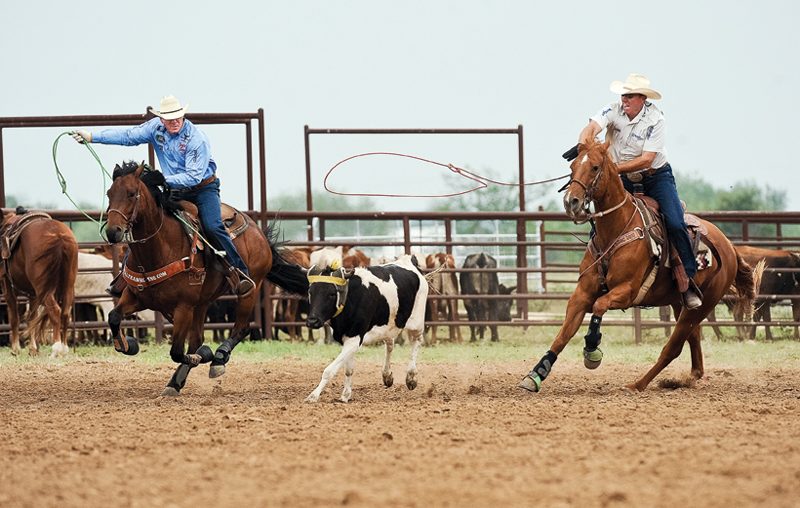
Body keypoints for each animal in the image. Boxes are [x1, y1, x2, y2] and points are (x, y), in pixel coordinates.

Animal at [0, 208, 79, 356]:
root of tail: (59, 235)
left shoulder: (6, 284)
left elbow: (14, 316)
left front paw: (15, 349)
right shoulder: (33, 293)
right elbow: (32, 317)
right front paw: (33, 349)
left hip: (43, 287)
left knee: (55, 311)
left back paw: (56, 349)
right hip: (67, 285)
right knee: (65, 313)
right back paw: (64, 348)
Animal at [104, 163, 310, 396]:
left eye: (131, 194)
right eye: (109, 193)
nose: (112, 231)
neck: (159, 250)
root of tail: (259, 232)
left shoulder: (183, 307)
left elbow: (177, 351)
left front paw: (205, 356)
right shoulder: (136, 298)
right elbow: (113, 317)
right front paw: (128, 345)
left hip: (249, 290)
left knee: (240, 328)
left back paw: (218, 358)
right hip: (202, 302)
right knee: (197, 339)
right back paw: (176, 382)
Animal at [304, 256, 428, 402]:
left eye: (332, 294)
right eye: (310, 292)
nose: (312, 321)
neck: (351, 297)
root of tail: (409, 260)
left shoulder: (354, 339)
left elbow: (329, 371)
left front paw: (313, 395)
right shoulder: (346, 339)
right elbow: (348, 370)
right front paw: (345, 395)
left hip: (417, 321)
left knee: (416, 342)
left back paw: (411, 377)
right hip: (388, 325)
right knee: (390, 344)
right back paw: (387, 375)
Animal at [520, 141, 764, 394]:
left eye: (595, 167)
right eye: (573, 166)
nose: (571, 202)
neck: (616, 229)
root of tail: (729, 246)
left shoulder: (627, 291)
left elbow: (599, 306)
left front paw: (592, 349)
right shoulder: (582, 293)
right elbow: (563, 334)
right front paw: (536, 374)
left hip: (704, 304)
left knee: (673, 347)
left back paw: (638, 384)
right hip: (680, 303)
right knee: (694, 339)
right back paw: (689, 378)